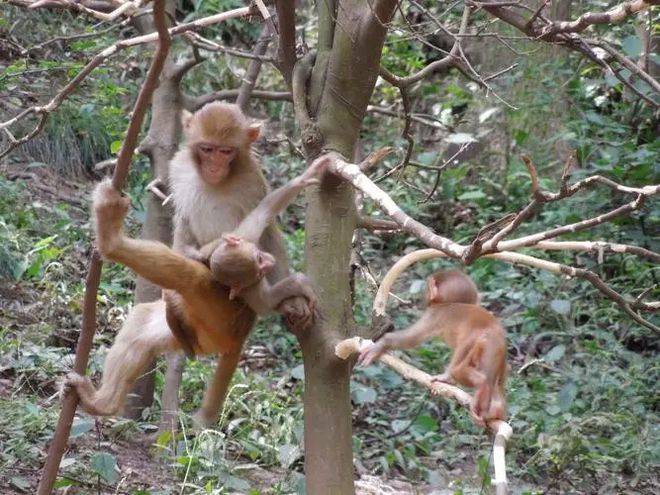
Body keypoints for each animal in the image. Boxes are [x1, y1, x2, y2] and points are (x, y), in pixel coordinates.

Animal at [360, 270, 506, 428]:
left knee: (462, 361)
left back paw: (453, 379)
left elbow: (412, 338)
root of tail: (495, 333)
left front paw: (380, 345)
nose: (424, 295)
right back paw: (496, 409)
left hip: (478, 343)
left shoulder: (433, 315)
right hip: (497, 355)